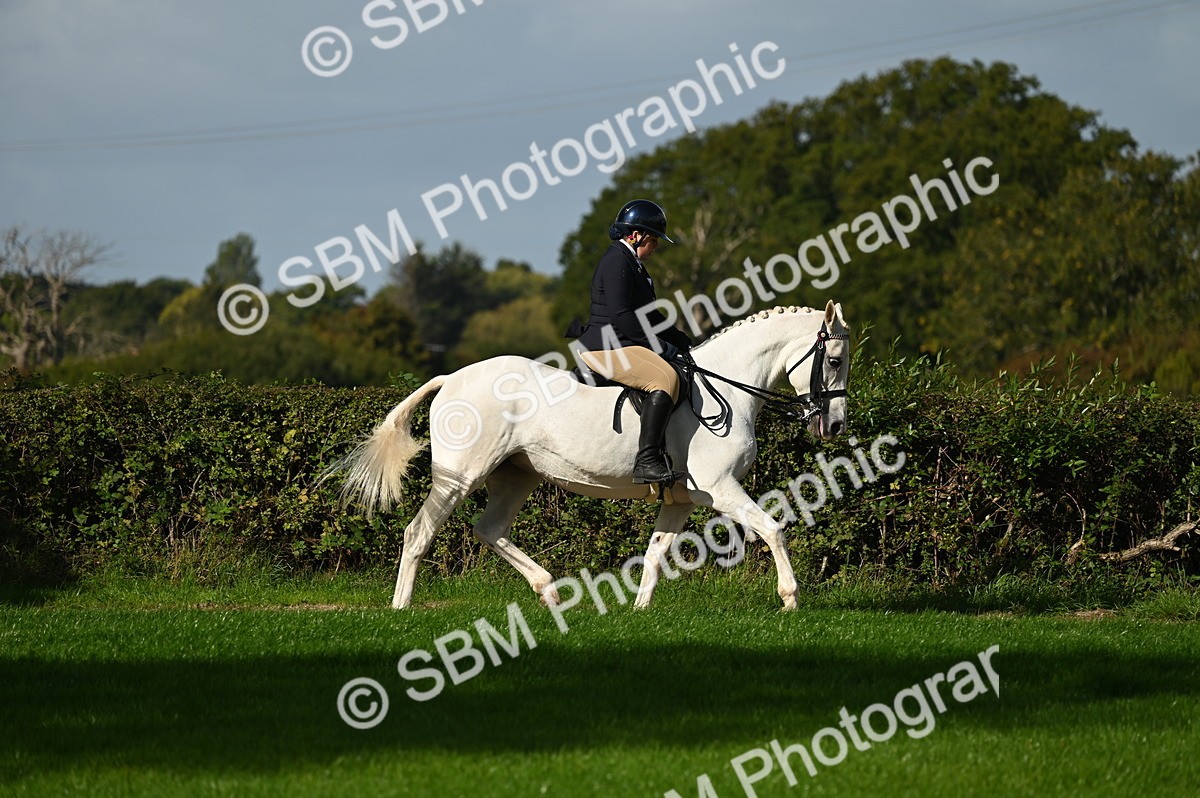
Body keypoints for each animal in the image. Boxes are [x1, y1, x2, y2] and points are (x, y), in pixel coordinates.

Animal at [327, 300, 851, 610]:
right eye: (835, 360)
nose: (836, 426)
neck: (725, 388)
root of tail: (452, 377)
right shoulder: (721, 489)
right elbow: (773, 528)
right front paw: (790, 599)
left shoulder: (682, 499)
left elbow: (656, 552)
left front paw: (640, 611)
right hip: (459, 476)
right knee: (420, 532)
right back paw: (402, 608)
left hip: (517, 475)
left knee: (489, 529)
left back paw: (549, 589)